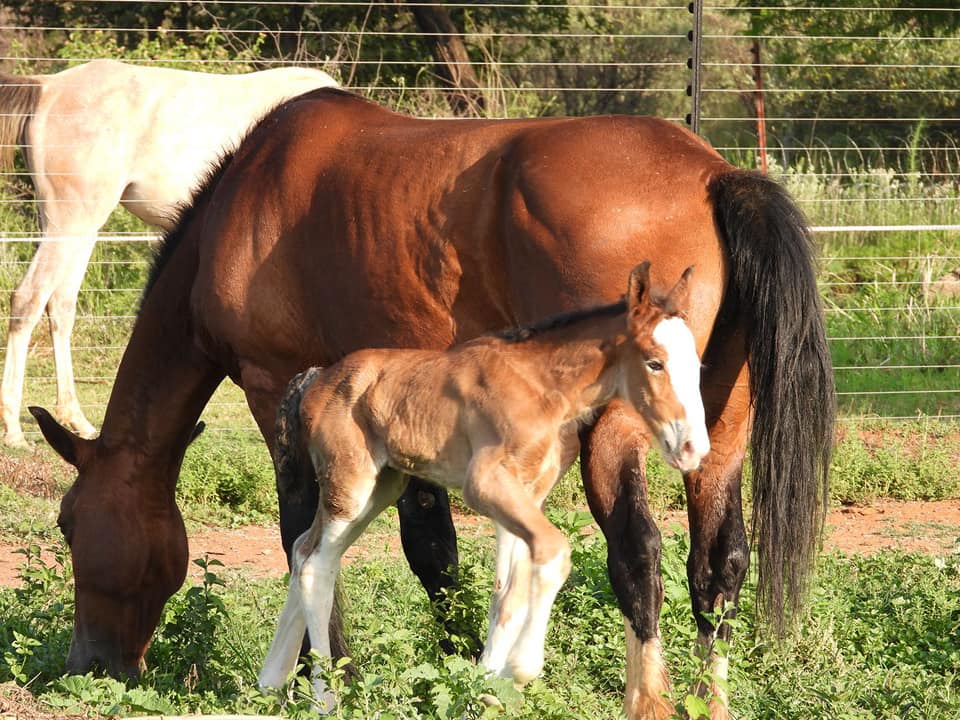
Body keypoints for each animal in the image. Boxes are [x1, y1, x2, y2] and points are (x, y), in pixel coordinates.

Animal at [0, 60, 338, 444]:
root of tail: (48, 86)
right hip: (71, 222)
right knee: (28, 299)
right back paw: (13, 429)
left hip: (75, 228)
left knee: (59, 304)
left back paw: (76, 420)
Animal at [31, 87, 832, 716]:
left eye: (70, 525)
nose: (88, 665)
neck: (247, 201)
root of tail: (714, 173)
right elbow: (438, 550)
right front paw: (453, 666)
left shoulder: (274, 391)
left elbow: (317, 540)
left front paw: (328, 675)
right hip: (710, 430)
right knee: (718, 566)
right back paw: (707, 700)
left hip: (625, 431)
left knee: (638, 552)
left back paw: (650, 702)